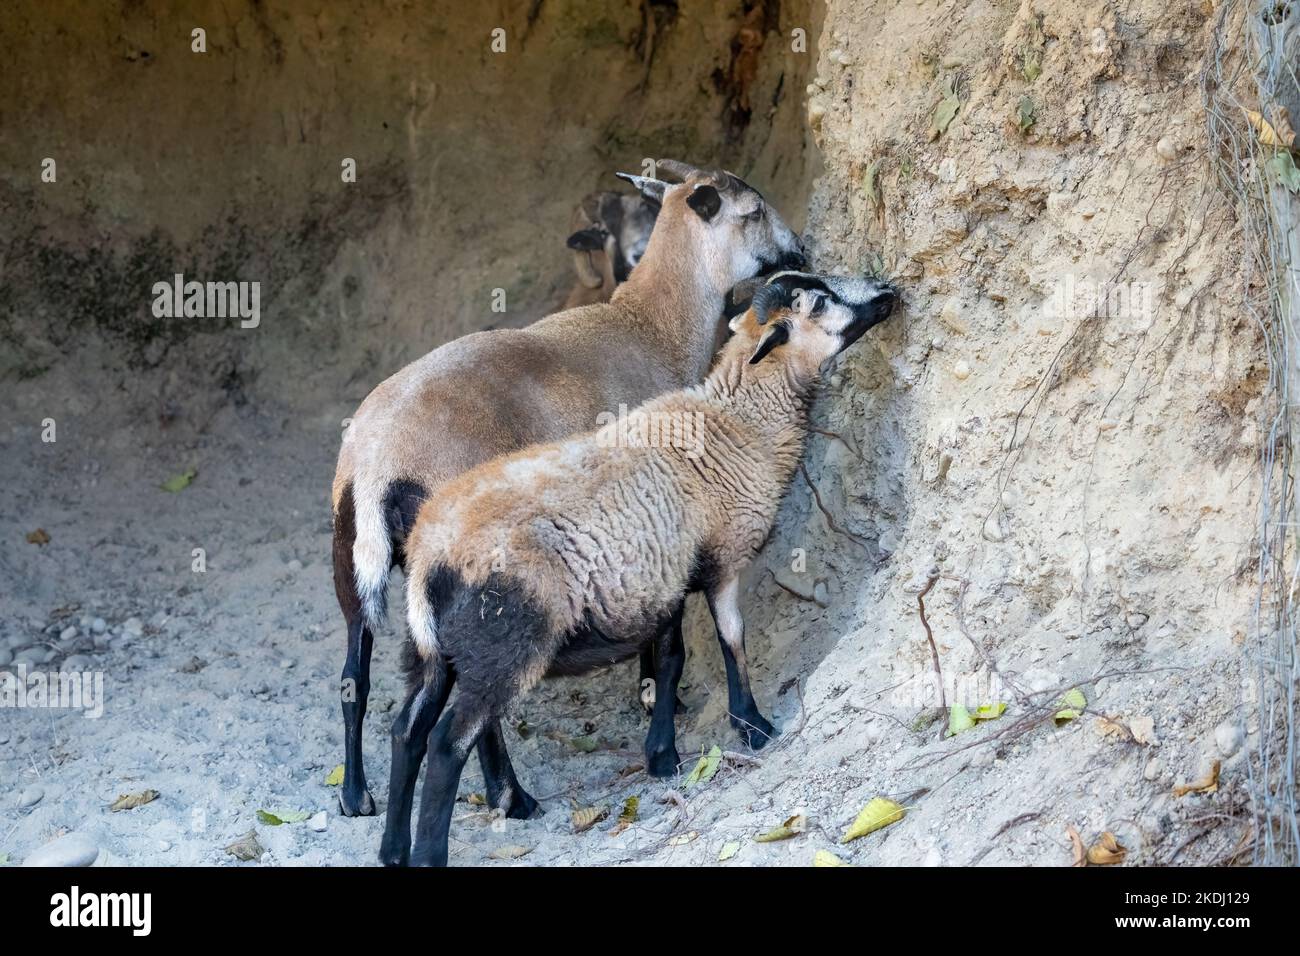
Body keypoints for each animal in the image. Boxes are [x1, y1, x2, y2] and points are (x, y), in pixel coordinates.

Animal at [332, 160, 800, 816]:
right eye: (752, 211)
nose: (797, 249)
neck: (649, 325)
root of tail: (377, 462)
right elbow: (666, 636)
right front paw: (660, 709)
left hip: (353, 561)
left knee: (356, 674)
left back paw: (356, 794)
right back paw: (513, 796)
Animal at [395, 270, 899, 868]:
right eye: (819, 302)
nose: (887, 292)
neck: (737, 422)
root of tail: (429, 554)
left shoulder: (663, 580)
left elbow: (669, 661)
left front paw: (663, 754)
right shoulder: (721, 559)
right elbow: (730, 640)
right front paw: (752, 726)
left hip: (435, 653)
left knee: (408, 731)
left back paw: (398, 845)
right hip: (505, 640)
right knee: (448, 741)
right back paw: (438, 846)